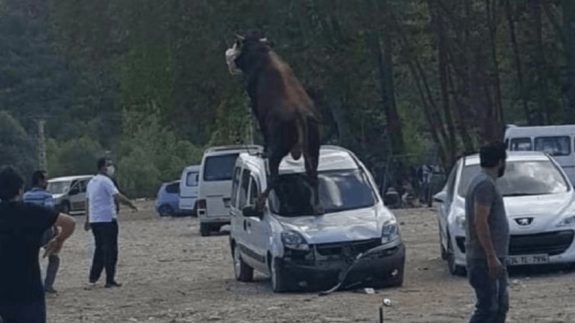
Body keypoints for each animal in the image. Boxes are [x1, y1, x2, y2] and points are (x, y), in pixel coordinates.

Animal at [225, 32, 324, 215]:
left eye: (236, 44)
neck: (261, 53)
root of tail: (300, 116)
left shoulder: (255, 103)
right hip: (314, 147)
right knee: (313, 173)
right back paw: (318, 206)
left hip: (278, 149)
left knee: (274, 177)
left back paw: (259, 203)